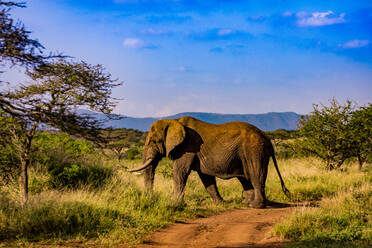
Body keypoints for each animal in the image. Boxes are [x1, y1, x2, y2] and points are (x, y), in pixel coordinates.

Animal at [129, 116, 290, 207]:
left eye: (154, 141)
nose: (150, 198)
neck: (174, 122)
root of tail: (267, 138)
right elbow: (206, 178)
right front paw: (220, 203)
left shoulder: (187, 147)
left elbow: (180, 172)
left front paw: (174, 204)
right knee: (245, 177)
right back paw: (246, 203)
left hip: (254, 150)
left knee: (255, 175)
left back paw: (255, 206)